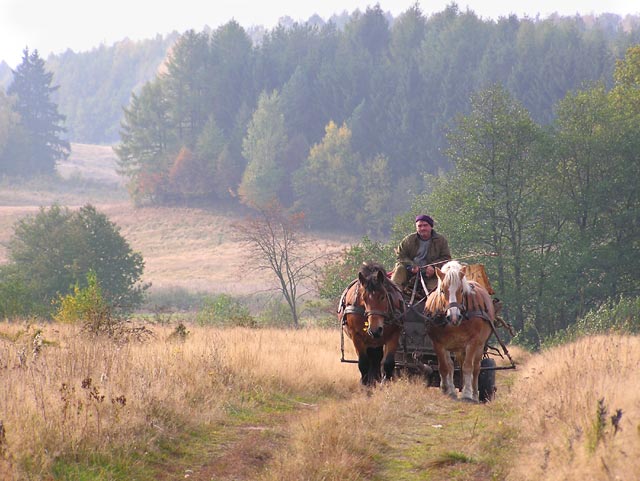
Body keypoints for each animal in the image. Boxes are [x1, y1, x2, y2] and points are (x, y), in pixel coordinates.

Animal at [424, 260, 496, 400]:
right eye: (442, 290)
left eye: (461, 290)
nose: (454, 317)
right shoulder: (438, 343)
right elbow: (444, 367)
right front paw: (446, 390)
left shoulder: (473, 341)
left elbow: (468, 367)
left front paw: (467, 394)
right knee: (452, 366)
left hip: (479, 345)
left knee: (476, 368)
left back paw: (474, 394)